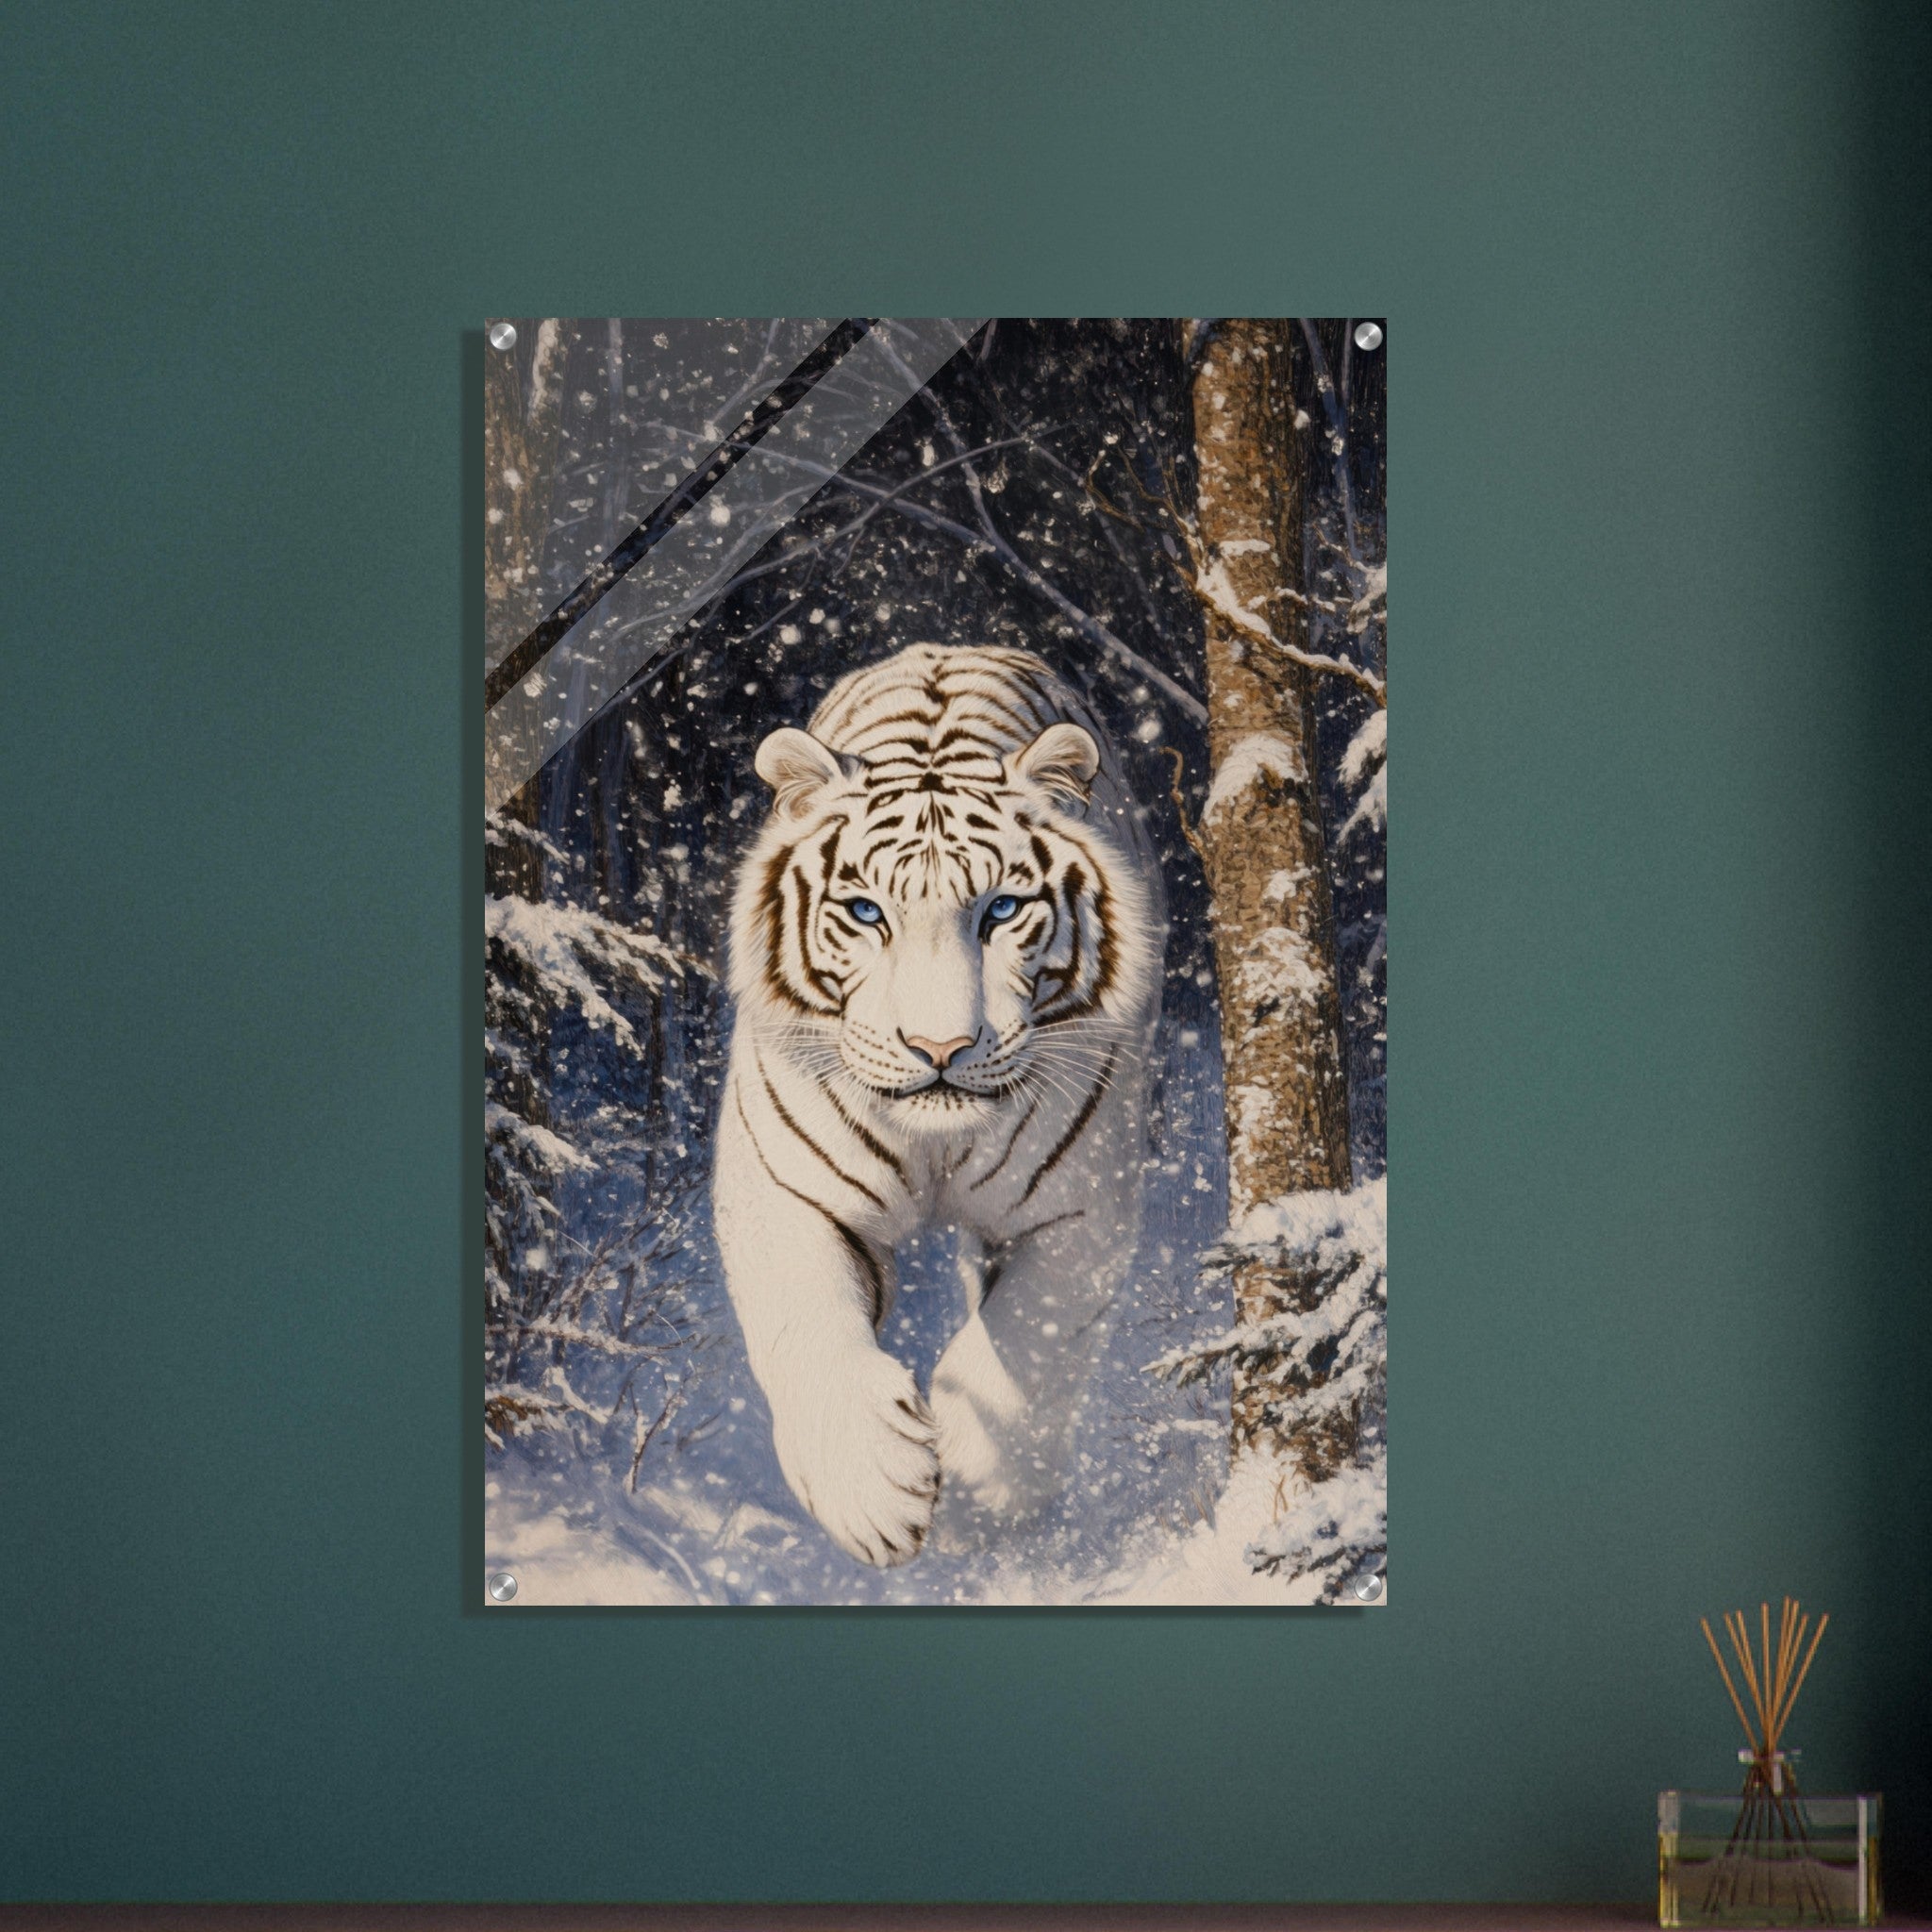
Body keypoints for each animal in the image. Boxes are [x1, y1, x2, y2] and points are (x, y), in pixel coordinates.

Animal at [712, 643, 1167, 1566]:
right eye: (864, 912)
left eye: (1003, 909)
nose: (939, 1050)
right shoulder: (782, 1189)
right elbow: (805, 1322)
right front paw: (870, 1491)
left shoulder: (1078, 1207)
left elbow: (1026, 1345)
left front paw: (980, 1501)